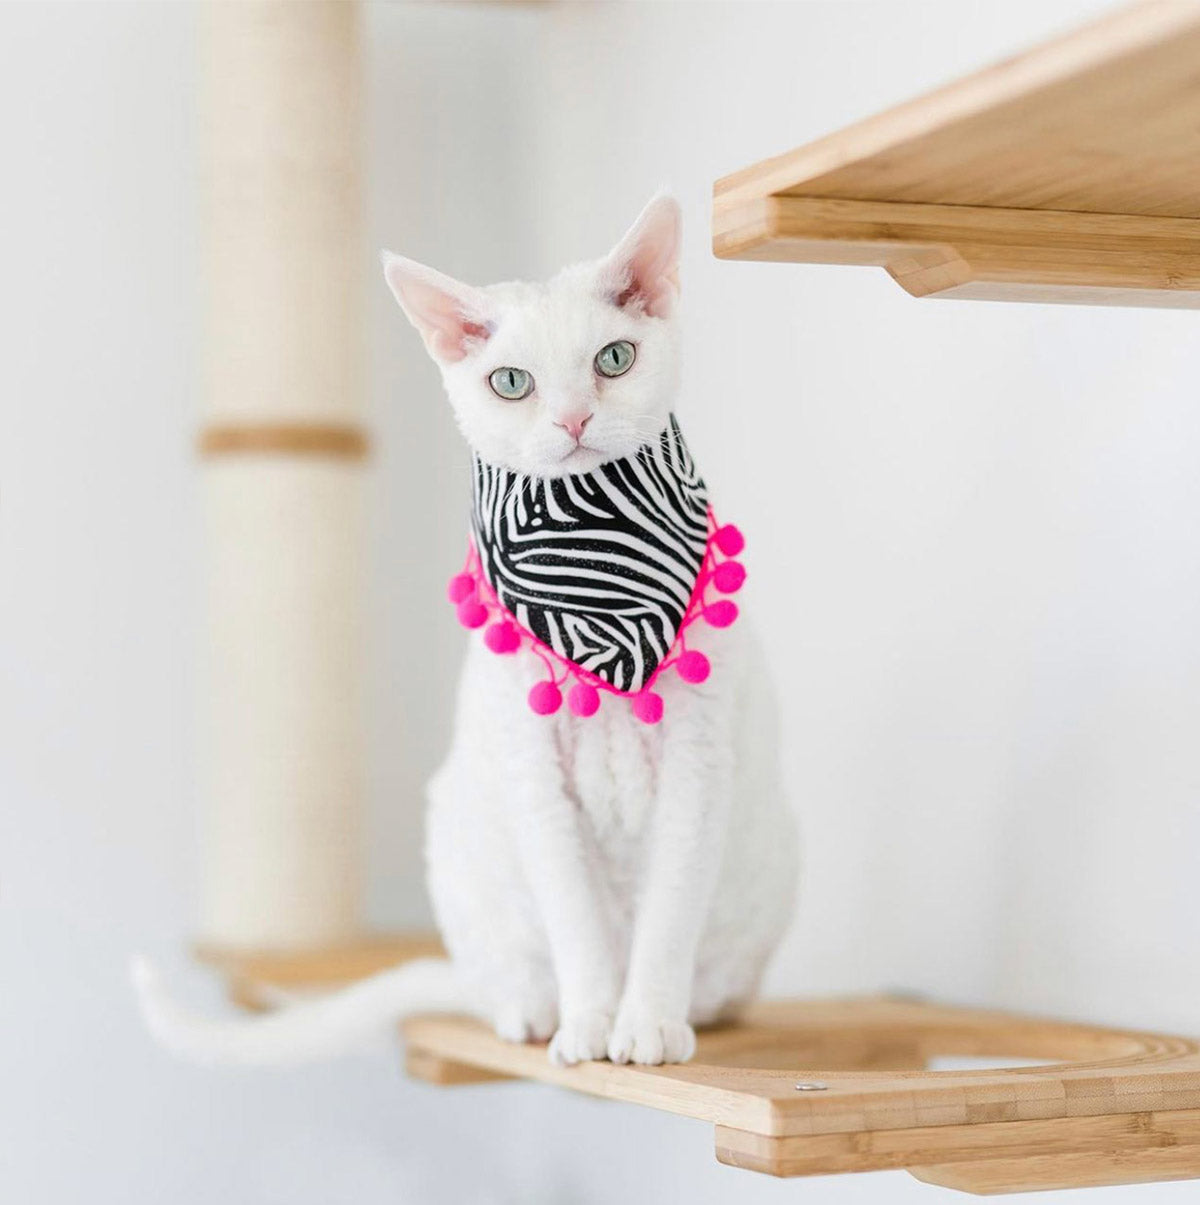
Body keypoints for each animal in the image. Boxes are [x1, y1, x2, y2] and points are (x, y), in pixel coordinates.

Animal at [133, 195, 795, 1065]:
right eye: (511, 382)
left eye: (614, 359)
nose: (573, 417)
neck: (598, 592)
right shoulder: (534, 780)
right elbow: (577, 926)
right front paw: (590, 1021)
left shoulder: (698, 767)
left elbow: (667, 916)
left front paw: (647, 1020)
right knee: (496, 984)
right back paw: (532, 1013)